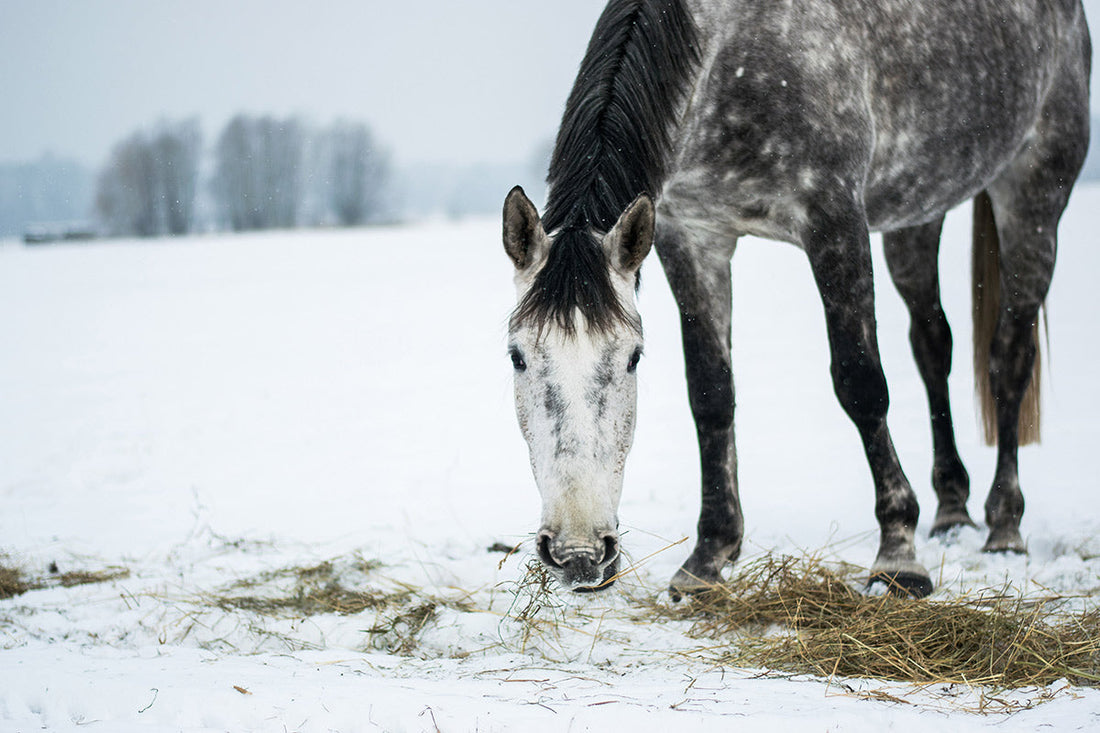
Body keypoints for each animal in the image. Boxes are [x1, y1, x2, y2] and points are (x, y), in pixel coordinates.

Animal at [501, 0, 1090, 597]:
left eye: (633, 358)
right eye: (517, 356)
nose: (578, 553)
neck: (726, 54)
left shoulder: (834, 217)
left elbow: (861, 383)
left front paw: (899, 554)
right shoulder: (693, 235)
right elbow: (711, 393)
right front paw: (708, 557)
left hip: (1035, 190)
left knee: (1009, 357)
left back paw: (1004, 526)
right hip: (917, 213)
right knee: (933, 346)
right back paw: (952, 510)